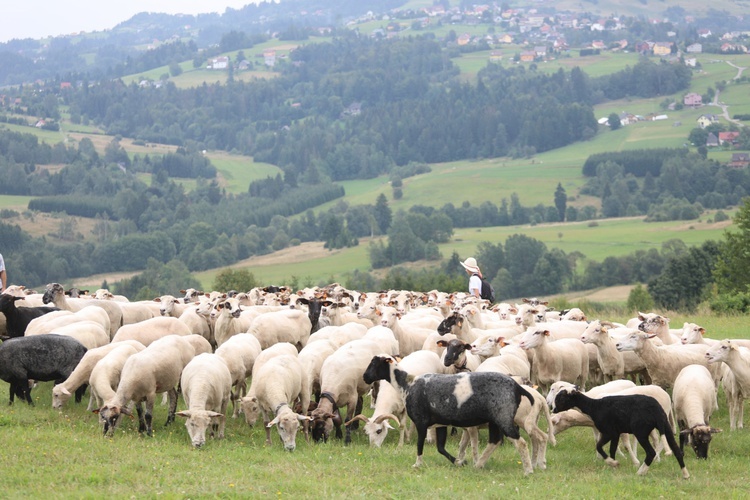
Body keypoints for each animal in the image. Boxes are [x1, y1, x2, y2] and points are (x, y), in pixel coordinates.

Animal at [362, 356, 536, 472]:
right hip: (496, 419)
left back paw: (528, 470)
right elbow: (440, 448)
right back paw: (478, 465)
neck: (407, 384)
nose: (365, 377)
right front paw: (460, 462)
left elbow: (419, 444)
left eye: (374, 363)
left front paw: (417, 464)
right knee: (494, 441)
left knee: (520, 443)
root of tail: (517, 387)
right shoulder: (441, 423)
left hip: (504, 417)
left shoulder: (421, 421)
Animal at [548, 384, 692, 478]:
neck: (594, 407)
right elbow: (612, 449)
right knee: (677, 450)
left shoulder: (609, 432)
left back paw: (641, 472)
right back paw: (685, 474)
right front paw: (613, 465)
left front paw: (612, 462)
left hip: (641, 431)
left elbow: (599, 446)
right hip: (665, 426)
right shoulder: (616, 433)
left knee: (651, 452)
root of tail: (655, 409)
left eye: (561, 398)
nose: (553, 409)